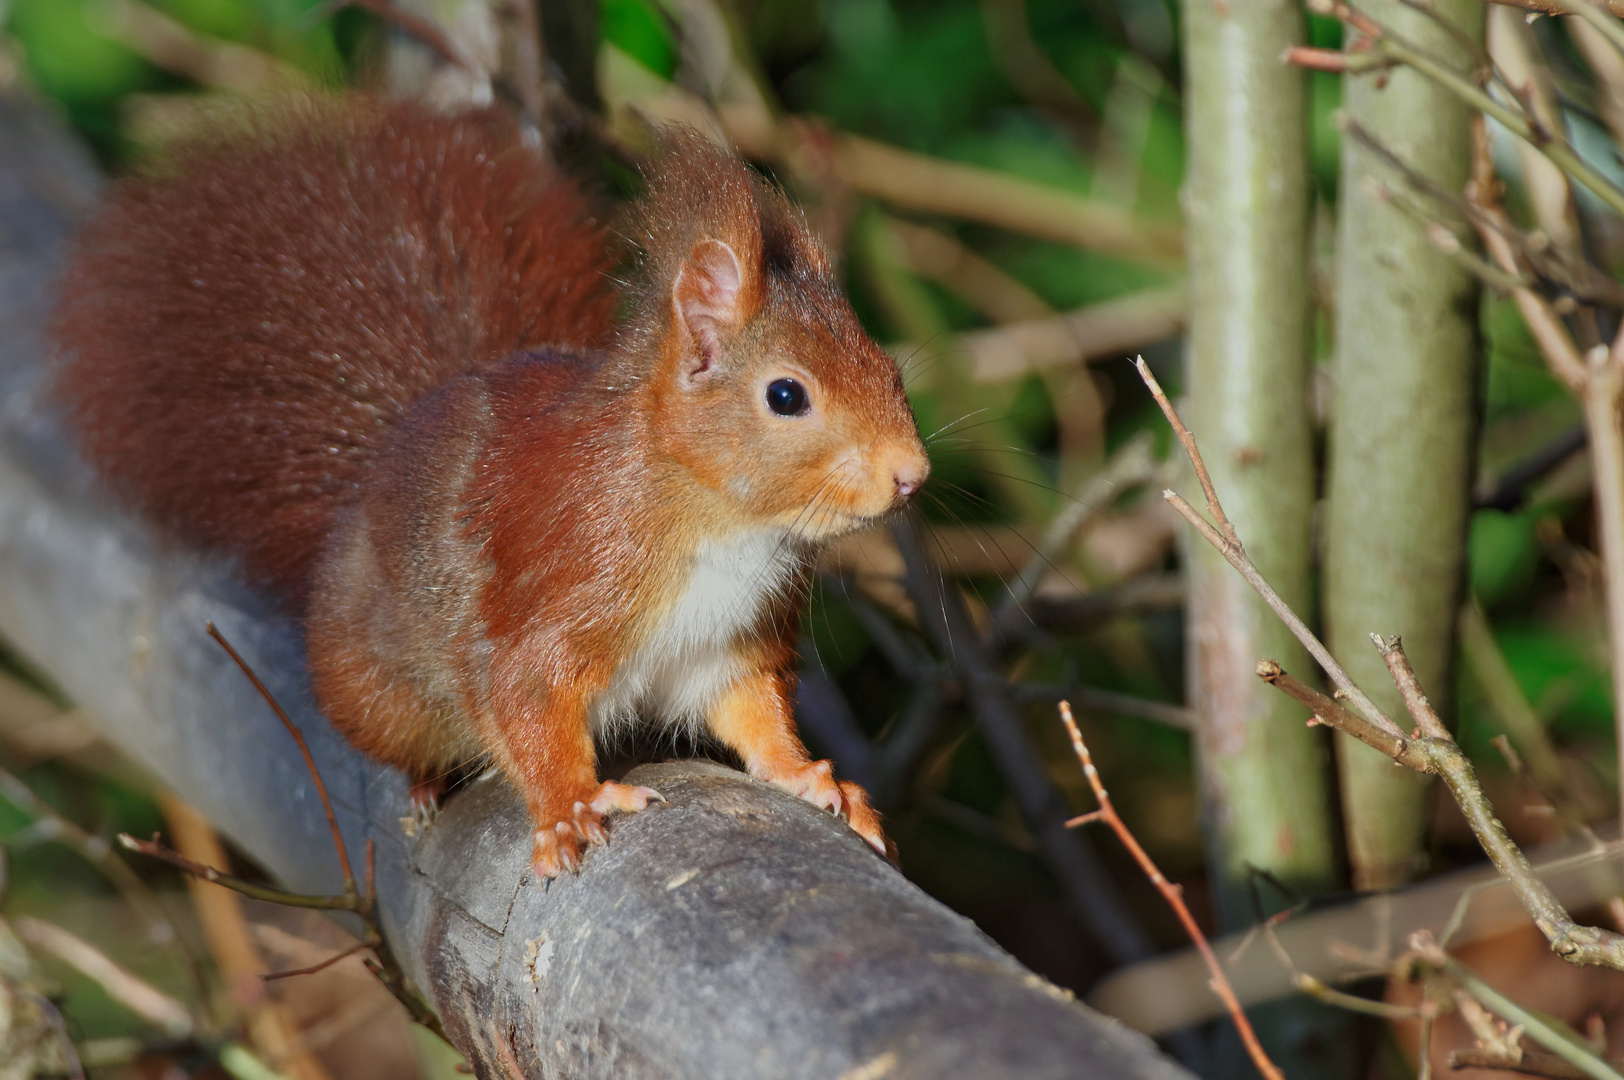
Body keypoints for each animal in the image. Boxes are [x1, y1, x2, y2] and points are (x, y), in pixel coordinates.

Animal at [53, 99, 928, 876]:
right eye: (786, 395)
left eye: (891, 370)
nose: (911, 474)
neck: (717, 519)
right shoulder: (563, 586)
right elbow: (525, 703)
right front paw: (574, 806)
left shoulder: (728, 641)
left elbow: (754, 713)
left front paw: (812, 780)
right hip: (383, 688)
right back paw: (423, 781)